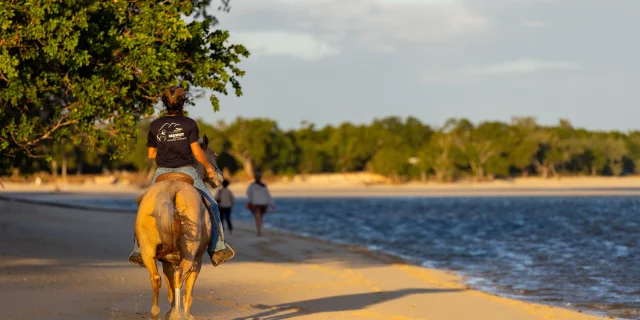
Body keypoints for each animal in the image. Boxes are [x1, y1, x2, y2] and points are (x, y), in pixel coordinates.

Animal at [135, 134, 225, 318]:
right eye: (213, 155)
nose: (220, 177)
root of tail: (171, 190)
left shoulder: (167, 261)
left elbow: (169, 286)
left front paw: (170, 312)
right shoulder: (197, 259)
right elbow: (188, 289)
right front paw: (185, 314)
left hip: (148, 250)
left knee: (156, 278)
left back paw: (156, 312)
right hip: (190, 253)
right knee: (179, 277)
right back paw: (180, 314)